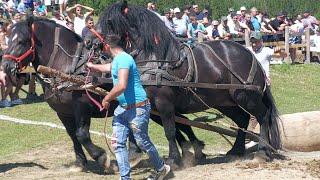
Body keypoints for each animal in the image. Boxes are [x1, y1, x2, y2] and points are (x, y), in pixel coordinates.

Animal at [0, 16, 205, 172]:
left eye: (21, 41)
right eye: (7, 40)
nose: (5, 67)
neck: (66, 65)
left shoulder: (82, 107)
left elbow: (82, 134)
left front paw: (102, 158)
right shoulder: (63, 113)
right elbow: (72, 135)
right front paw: (80, 162)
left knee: (177, 123)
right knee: (178, 124)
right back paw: (192, 150)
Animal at [84, 1, 282, 167]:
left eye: (109, 21)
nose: (87, 41)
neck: (156, 60)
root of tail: (250, 54)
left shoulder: (164, 103)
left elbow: (170, 131)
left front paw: (174, 158)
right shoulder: (150, 105)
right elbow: (169, 128)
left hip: (246, 97)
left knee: (263, 116)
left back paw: (263, 151)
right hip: (226, 102)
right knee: (243, 120)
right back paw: (236, 150)